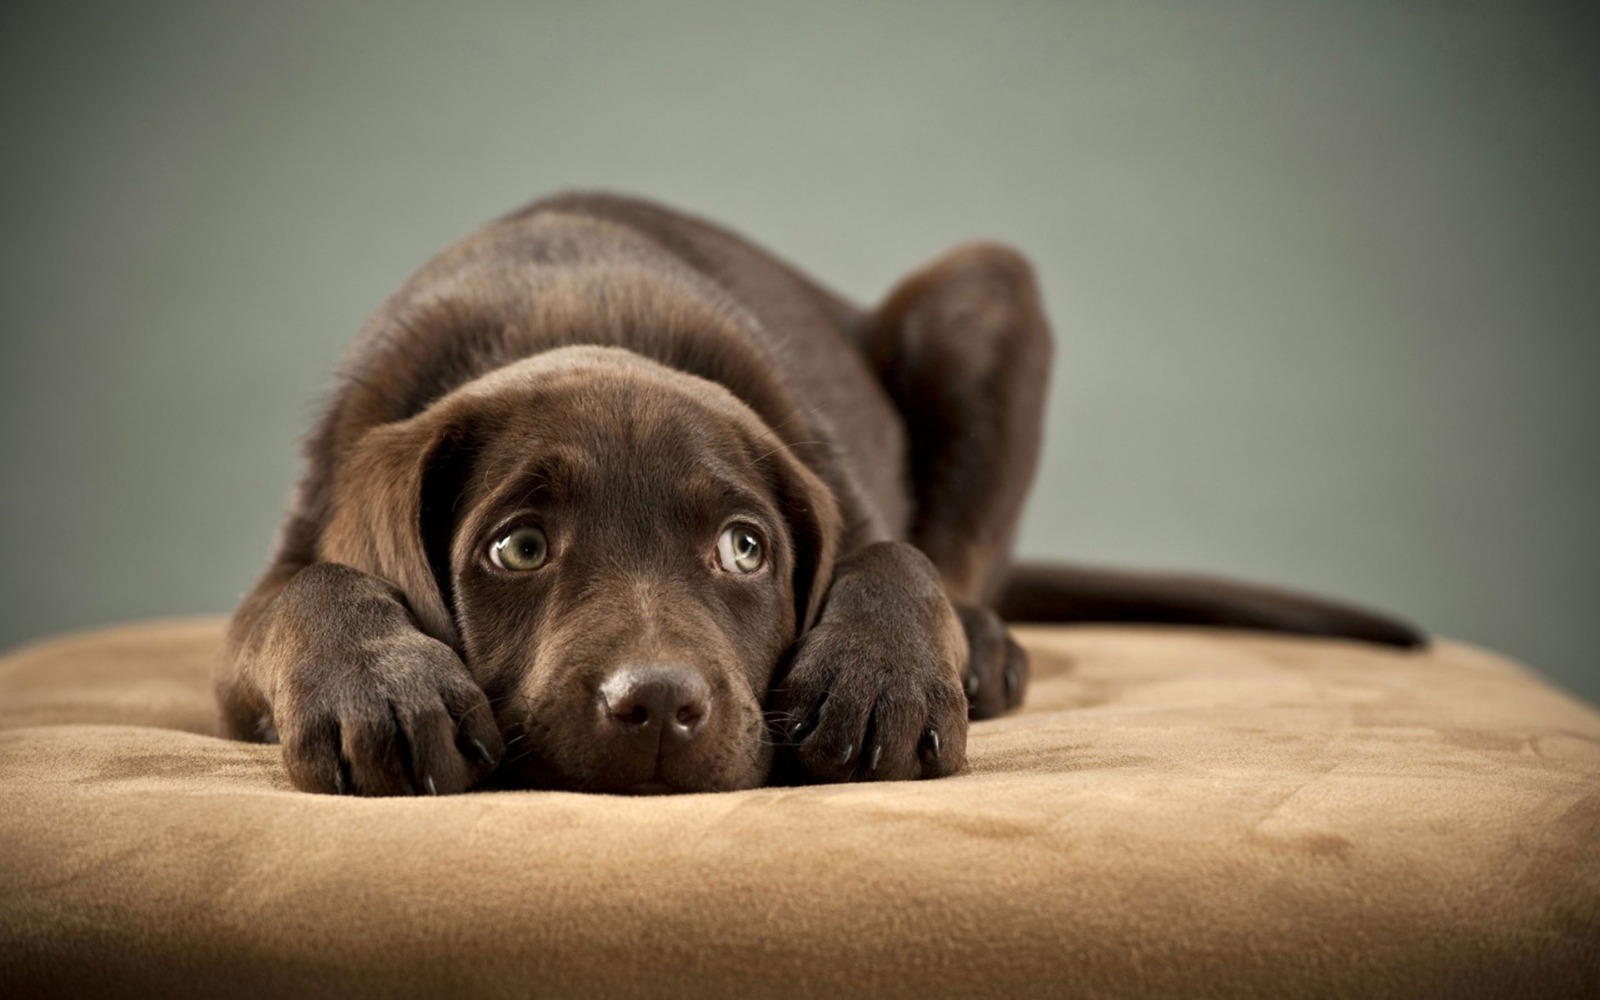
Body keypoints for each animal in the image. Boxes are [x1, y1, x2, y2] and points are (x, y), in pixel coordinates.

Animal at [216, 191, 1427, 790]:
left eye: (745, 549)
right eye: (517, 548)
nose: (659, 707)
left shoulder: (835, 481)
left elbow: (892, 556)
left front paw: (882, 681)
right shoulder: (275, 580)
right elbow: (304, 594)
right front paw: (380, 685)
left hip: (986, 291)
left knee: (963, 559)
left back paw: (984, 648)